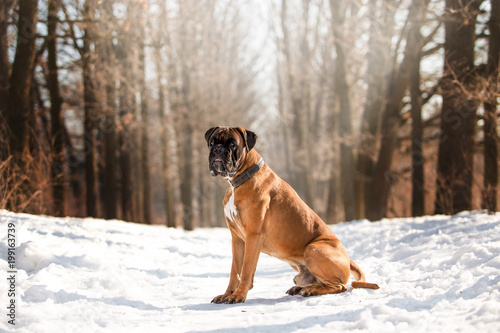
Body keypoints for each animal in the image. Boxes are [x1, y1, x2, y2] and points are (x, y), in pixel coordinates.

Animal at [205, 126, 376, 302]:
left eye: (232, 144)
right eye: (211, 143)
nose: (218, 149)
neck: (241, 178)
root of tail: (348, 258)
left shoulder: (253, 235)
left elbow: (245, 270)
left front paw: (238, 295)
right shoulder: (237, 239)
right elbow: (235, 271)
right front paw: (227, 294)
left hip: (313, 248)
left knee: (340, 286)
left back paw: (311, 290)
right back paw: (300, 287)